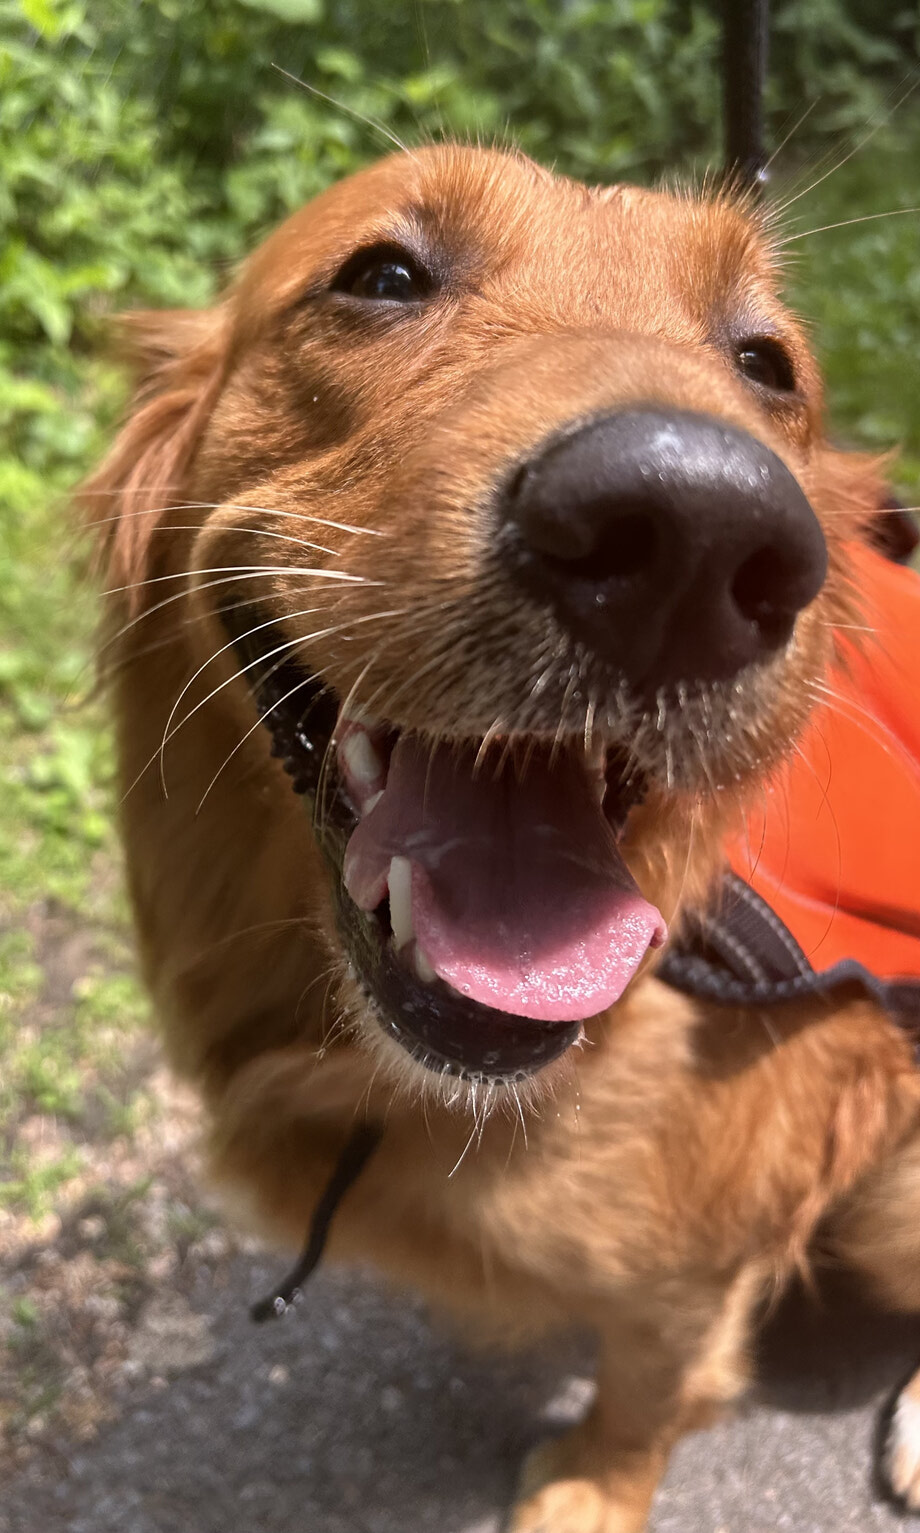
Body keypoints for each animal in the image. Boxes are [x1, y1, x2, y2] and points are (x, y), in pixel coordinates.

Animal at [83, 144, 920, 1530]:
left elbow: (649, 1383)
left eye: (765, 362)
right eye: (382, 277)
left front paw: (589, 1487)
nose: (689, 536)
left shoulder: (701, 1261)